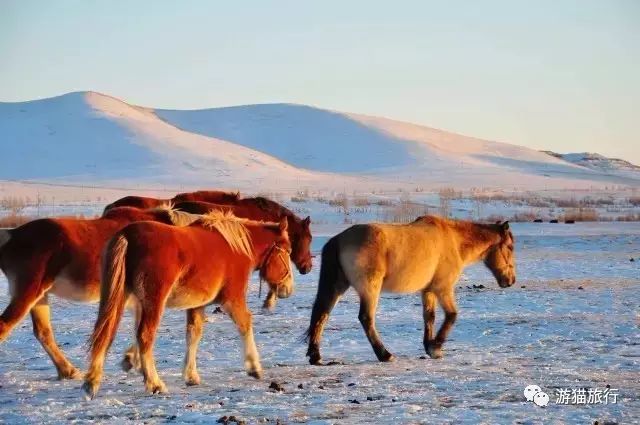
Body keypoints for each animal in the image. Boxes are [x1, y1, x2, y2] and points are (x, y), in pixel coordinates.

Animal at [0, 205, 201, 378]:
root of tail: (11, 235)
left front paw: (131, 360)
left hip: (40, 297)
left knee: (43, 332)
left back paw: (68, 371)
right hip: (28, 292)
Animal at [82, 212, 296, 398]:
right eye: (288, 251)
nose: (288, 288)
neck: (236, 247)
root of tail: (127, 235)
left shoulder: (196, 305)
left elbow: (193, 333)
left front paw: (191, 375)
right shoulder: (232, 298)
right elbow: (245, 324)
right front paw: (254, 367)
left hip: (122, 297)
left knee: (105, 332)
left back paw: (92, 381)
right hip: (153, 301)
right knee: (144, 335)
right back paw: (154, 383)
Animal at [304, 215, 516, 364]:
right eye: (510, 247)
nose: (511, 280)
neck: (454, 241)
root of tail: (339, 239)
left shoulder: (428, 291)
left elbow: (429, 317)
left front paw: (429, 346)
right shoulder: (443, 289)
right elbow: (452, 315)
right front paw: (436, 347)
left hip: (338, 286)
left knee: (322, 314)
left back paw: (316, 356)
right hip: (369, 289)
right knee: (366, 318)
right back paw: (385, 354)